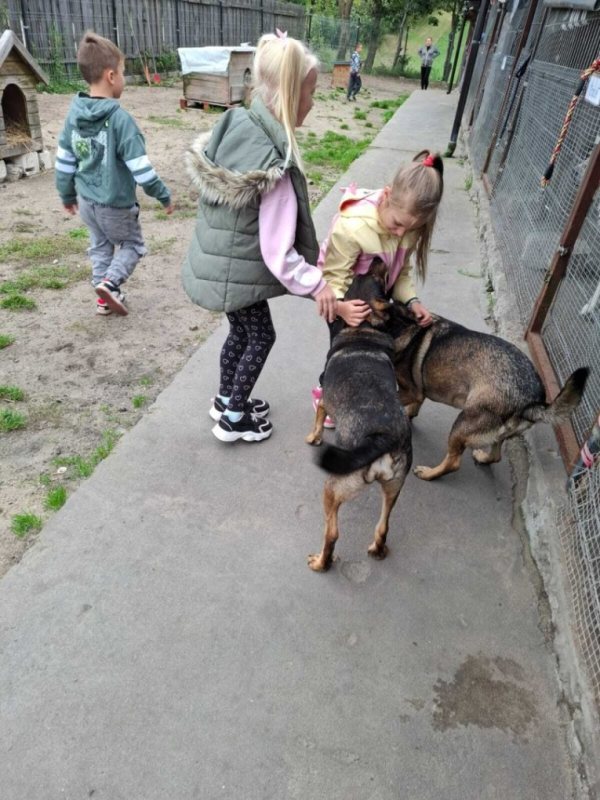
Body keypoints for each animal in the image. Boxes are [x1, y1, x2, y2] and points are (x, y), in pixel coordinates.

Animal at [305, 263, 412, 572]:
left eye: (377, 278)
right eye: (358, 276)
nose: (377, 259)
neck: (364, 329)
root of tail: (382, 437)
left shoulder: (325, 397)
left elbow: (319, 414)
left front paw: (313, 437)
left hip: (333, 488)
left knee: (332, 533)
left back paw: (320, 562)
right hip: (394, 487)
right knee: (383, 527)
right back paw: (377, 550)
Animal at [387, 300, 589, 480]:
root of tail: (532, 402)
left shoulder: (409, 391)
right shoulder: (418, 391)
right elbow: (416, 404)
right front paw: (409, 415)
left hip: (462, 424)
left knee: (453, 463)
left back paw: (429, 473)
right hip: (496, 434)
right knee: (496, 455)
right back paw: (483, 457)